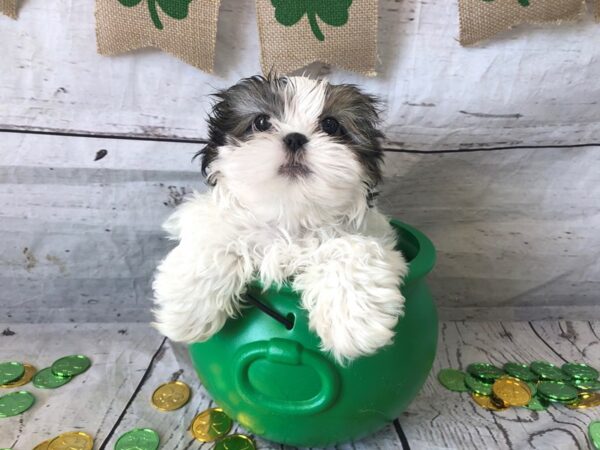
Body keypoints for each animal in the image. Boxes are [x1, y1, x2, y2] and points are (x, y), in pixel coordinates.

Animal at [152, 74, 410, 362]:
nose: (295, 138)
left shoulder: (377, 237)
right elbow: (214, 242)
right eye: (262, 122)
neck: (290, 214)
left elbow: (351, 250)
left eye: (331, 125)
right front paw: (187, 314)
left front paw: (355, 323)